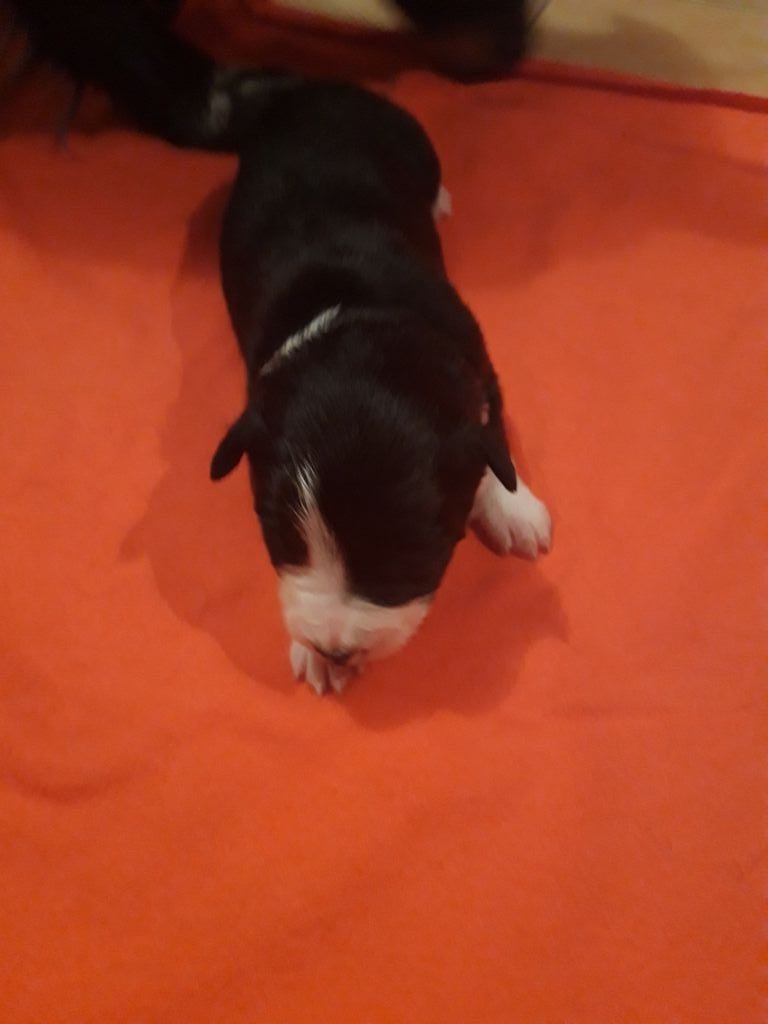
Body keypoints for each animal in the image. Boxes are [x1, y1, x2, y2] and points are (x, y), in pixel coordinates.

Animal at [211, 79, 551, 695]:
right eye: (282, 541)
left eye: (407, 558)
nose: (335, 648)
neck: (361, 317)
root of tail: (317, 88)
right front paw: (317, 659)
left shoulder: (480, 368)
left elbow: (495, 444)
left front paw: (517, 512)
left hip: (415, 139)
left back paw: (440, 200)